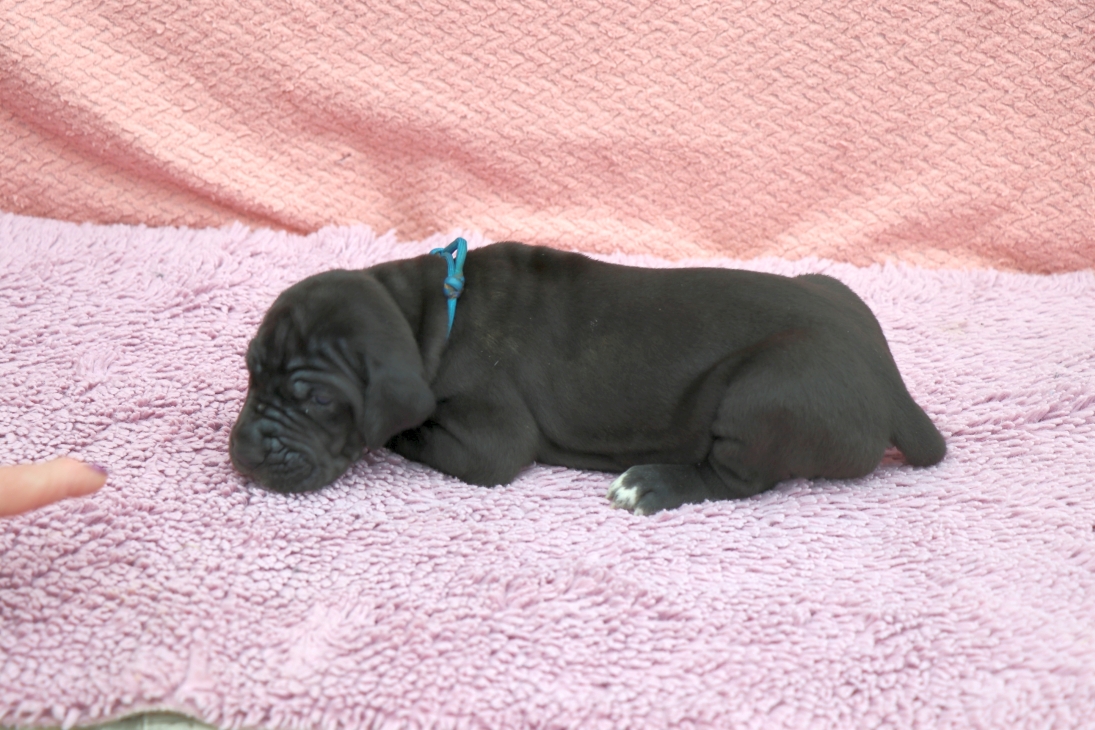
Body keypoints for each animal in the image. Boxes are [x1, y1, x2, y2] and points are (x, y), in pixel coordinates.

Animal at [229, 241, 945, 514]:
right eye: (250, 371)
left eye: (316, 400)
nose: (241, 450)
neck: (433, 310)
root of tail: (892, 386)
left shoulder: (488, 442)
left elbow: (413, 429)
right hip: (832, 288)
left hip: (765, 393)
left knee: (736, 479)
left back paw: (651, 484)